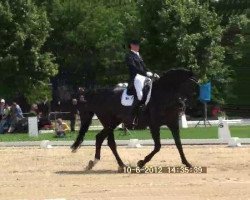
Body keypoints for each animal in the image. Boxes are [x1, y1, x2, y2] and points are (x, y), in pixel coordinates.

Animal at [71, 69, 199, 170]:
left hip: (113, 123)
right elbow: (158, 146)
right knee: (105, 140)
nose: (183, 106)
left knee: (103, 140)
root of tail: (97, 94)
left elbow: (179, 144)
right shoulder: (154, 125)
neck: (163, 95)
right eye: (192, 86)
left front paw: (187, 164)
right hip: (109, 123)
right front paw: (141, 163)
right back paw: (111, 164)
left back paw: (112, 164)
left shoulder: (173, 124)